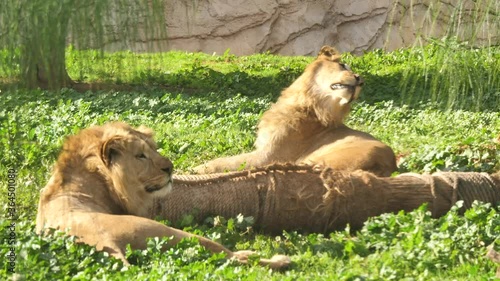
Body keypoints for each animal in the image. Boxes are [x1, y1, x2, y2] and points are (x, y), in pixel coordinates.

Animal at [36, 122, 290, 266]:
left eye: (154, 149)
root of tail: (102, 242)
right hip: (162, 230)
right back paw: (280, 259)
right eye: (140, 156)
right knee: (229, 255)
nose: (170, 168)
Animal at [193, 46, 396, 176]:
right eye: (343, 65)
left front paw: (197, 169)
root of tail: (388, 164)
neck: (308, 104)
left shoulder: (268, 155)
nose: (361, 80)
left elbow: (224, 161)